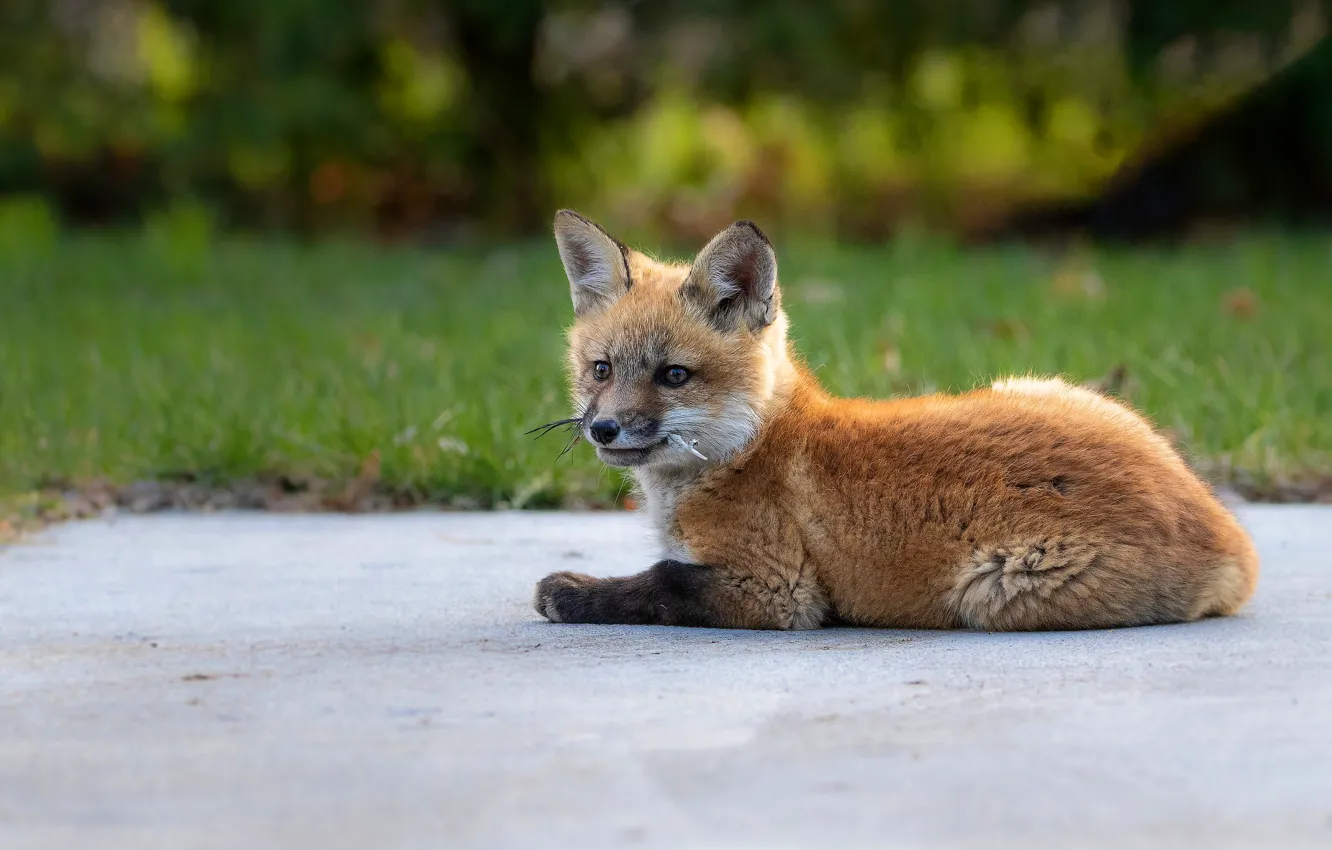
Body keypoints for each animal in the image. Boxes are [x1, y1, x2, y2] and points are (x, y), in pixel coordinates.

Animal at [533, 210, 1260, 631]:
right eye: (601, 370)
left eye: (673, 376)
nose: (603, 430)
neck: (751, 443)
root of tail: (1230, 536)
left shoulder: (772, 587)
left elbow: (661, 580)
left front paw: (571, 593)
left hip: (994, 592)